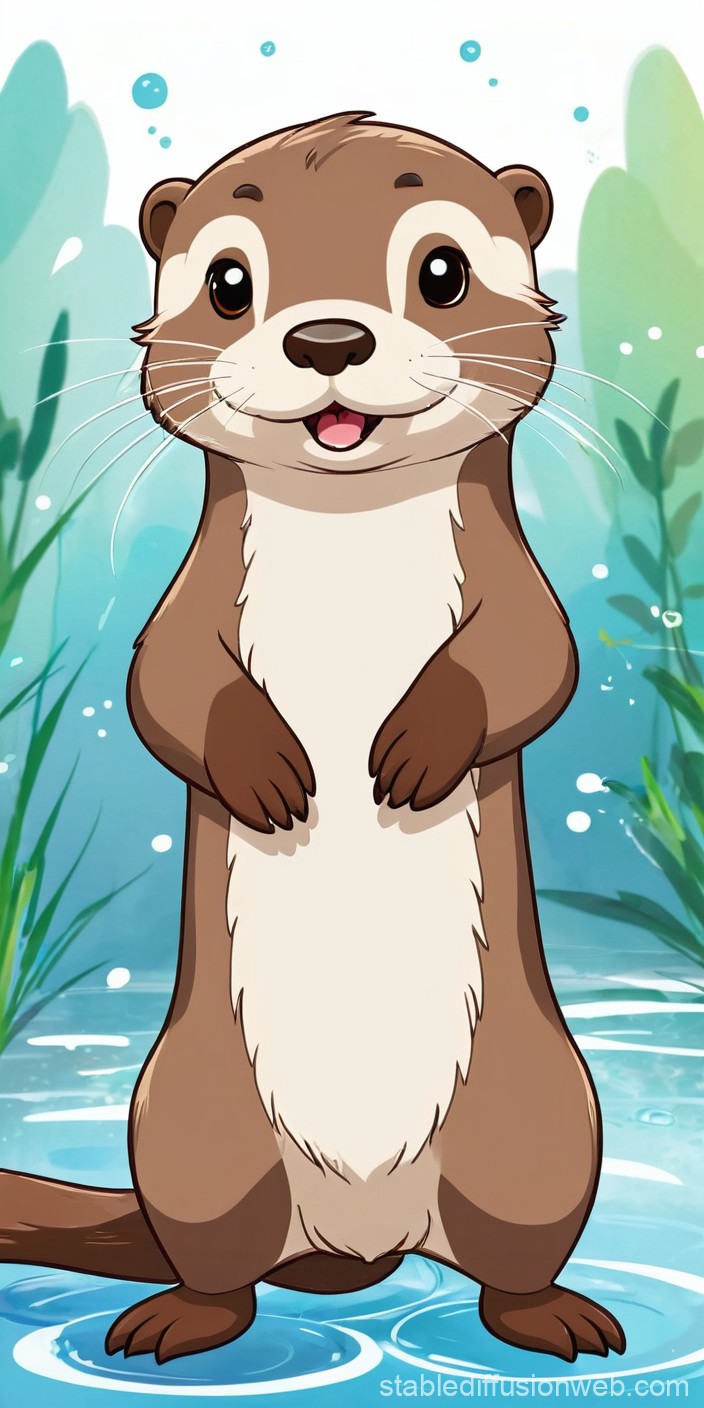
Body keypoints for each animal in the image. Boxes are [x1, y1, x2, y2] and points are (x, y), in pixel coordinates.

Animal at [0, 112, 626, 1368]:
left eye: (441, 270)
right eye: (229, 282)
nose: (326, 336)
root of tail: (366, 1232)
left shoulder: (518, 590)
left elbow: (528, 661)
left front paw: (416, 746)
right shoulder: (186, 603)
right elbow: (167, 686)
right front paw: (269, 773)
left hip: (537, 1114)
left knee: (513, 1251)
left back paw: (551, 1316)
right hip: (190, 1124)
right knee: (223, 1263)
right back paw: (178, 1319)